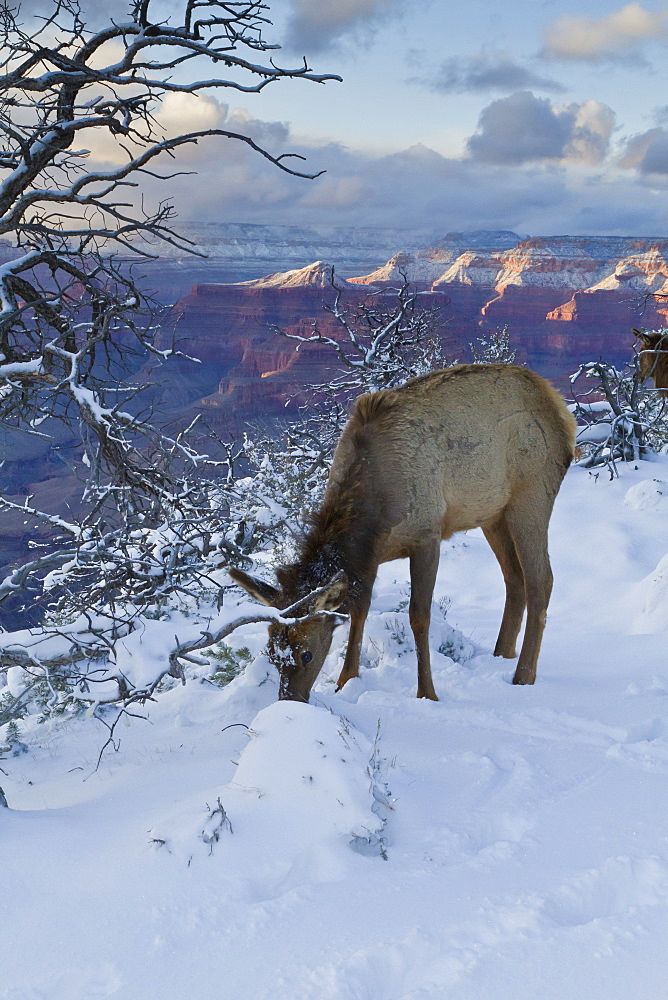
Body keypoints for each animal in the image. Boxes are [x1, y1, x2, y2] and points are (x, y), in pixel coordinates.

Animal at [230, 366, 576, 704]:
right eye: (272, 654)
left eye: (306, 654)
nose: (290, 700)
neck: (374, 511)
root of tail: (560, 410)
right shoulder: (369, 556)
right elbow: (360, 609)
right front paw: (346, 681)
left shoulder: (426, 535)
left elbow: (418, 616)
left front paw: (427, 693)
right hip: (492, 513)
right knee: (514, 578)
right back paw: (501, 655)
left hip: (531, 494)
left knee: (541, 579)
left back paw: (523, 675)